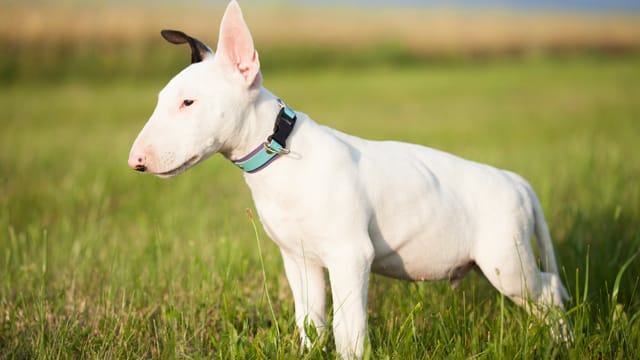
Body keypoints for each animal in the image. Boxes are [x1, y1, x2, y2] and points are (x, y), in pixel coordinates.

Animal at [127, 2, 568, 358]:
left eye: (188, 102)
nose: (135, 161)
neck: (282, 156)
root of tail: (516, 181)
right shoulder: (299, 260)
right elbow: (311, 321)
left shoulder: (350, 256)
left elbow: (348, 329)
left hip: (506, 262)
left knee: (548, 291)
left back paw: (563, 343)